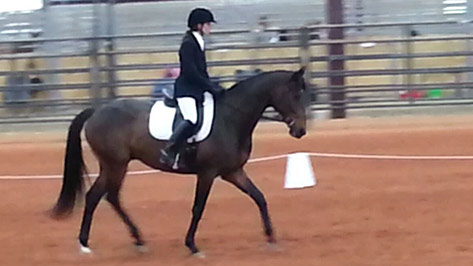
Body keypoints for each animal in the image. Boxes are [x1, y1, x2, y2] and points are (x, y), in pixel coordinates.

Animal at [51, 67, 308, 256]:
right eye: (295, 95)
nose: (300, 131)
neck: (231, 117)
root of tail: (97, 111)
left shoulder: (233, 172)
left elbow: (259, 197)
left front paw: (271, 238)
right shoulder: (208, 173)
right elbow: (198, 208)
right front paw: (192, 246)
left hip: (113, 165)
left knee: (102, 196)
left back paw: (127, 240)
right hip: (116, 164)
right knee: (103, 196)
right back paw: (94, 243)